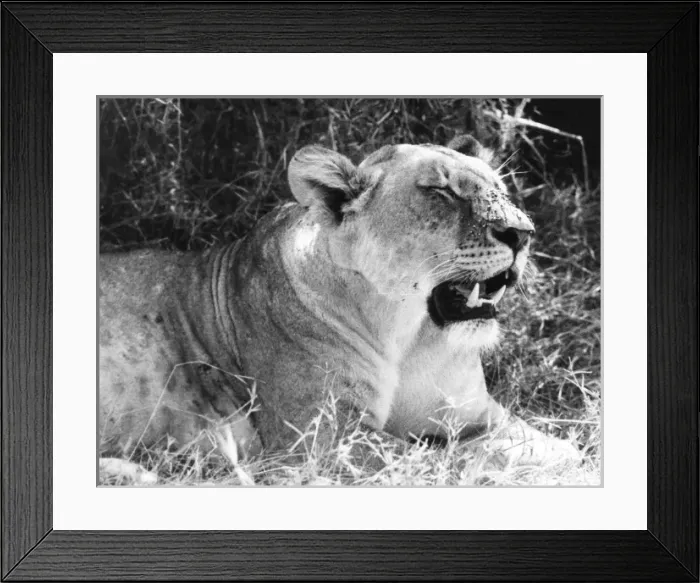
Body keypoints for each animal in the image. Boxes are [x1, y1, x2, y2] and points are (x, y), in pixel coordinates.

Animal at [99, 135, 581, 478]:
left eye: (500, 188)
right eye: (440, 191)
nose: (522, 233)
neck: (410, 337)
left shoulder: (481, 416)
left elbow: (545, 444)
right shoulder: (324, 439)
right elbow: (442, 463)